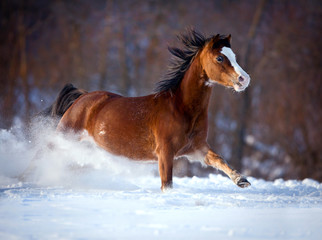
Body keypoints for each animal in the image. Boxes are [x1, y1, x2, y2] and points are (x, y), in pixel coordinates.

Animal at [43, 29, 252, 191]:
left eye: (234, 56)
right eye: (220, 57)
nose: (244, 79)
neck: (181, 109)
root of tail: (81, 98)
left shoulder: (197, 148)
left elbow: (219, 159)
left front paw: (241, 180)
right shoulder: (165, 153)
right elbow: (167, 184)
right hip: (63, 139)